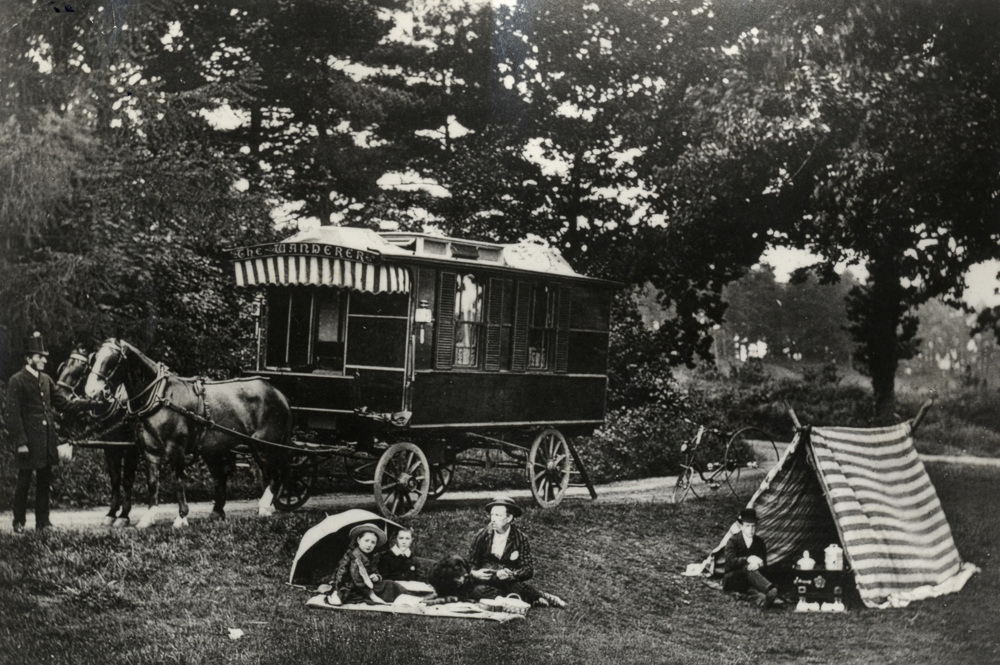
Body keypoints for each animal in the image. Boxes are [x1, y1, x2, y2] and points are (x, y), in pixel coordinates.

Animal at [55, 350, 142, 528]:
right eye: (63, 367)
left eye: (79, 372)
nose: (57, 396)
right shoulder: (110, 447)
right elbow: (115, 479)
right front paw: (111, 513)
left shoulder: (132, 448)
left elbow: (127, 480)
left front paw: (124, 515)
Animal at [84, 340, 292, 528]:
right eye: (95, 358)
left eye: (113, 360)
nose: (91, 391)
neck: (160, 397)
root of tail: (278, 393)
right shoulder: (150, 451)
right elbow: (152, 483)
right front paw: (148, 518)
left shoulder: (176, 450)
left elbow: (177, 482)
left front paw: (181, 517)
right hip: (220, 449)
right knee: (225, 475)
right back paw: (220, 512)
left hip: (263, 446)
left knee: (275, 474)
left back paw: (264, 507)